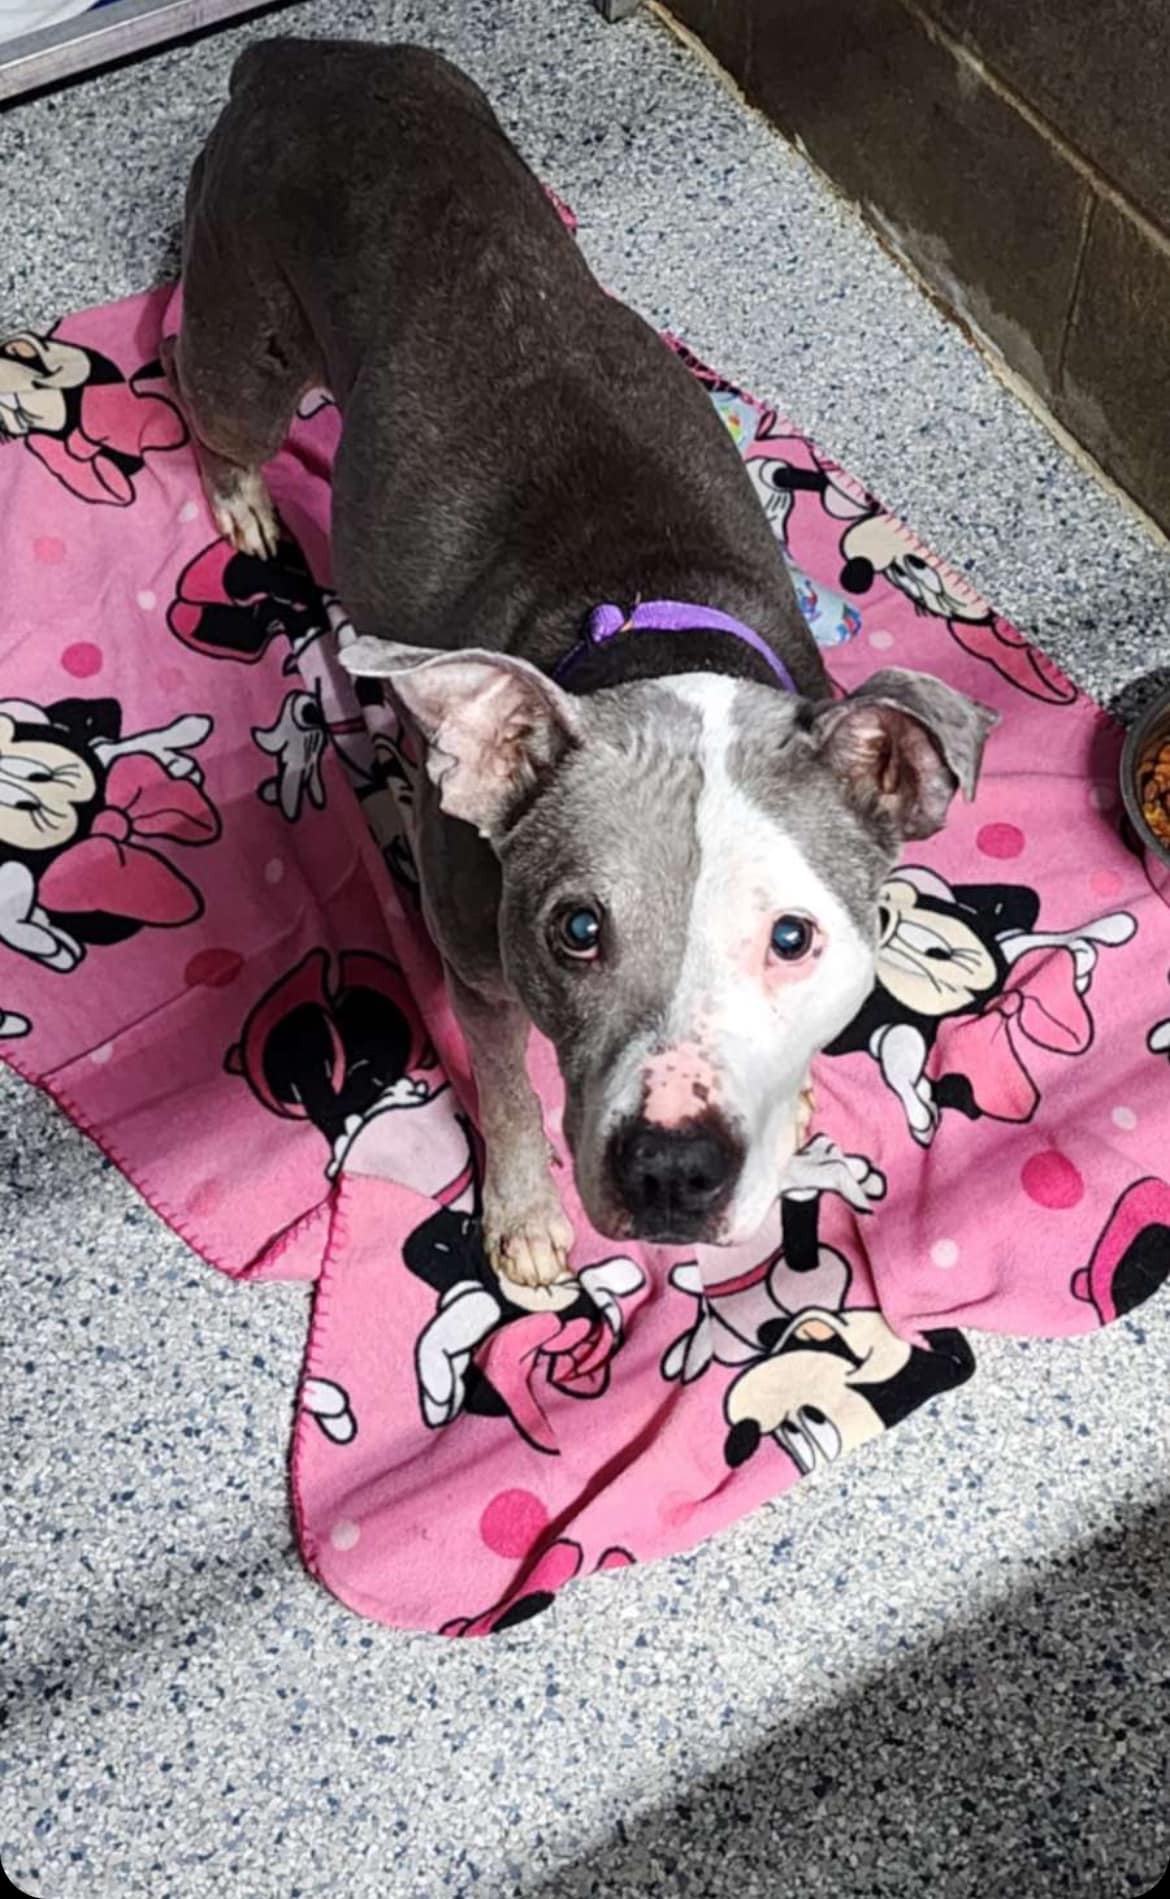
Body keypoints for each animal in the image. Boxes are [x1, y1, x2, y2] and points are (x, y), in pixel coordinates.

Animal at [170, 40, 995, 1291]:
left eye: (794, 937)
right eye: (576, 929)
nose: (672, 1172)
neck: (656, 636)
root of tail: (301, 54)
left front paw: (798, 1104)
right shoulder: (477, 964)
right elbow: (509, 1092)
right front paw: (521, 1218)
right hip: (247, 335)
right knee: (199, 385)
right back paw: (241, 501)